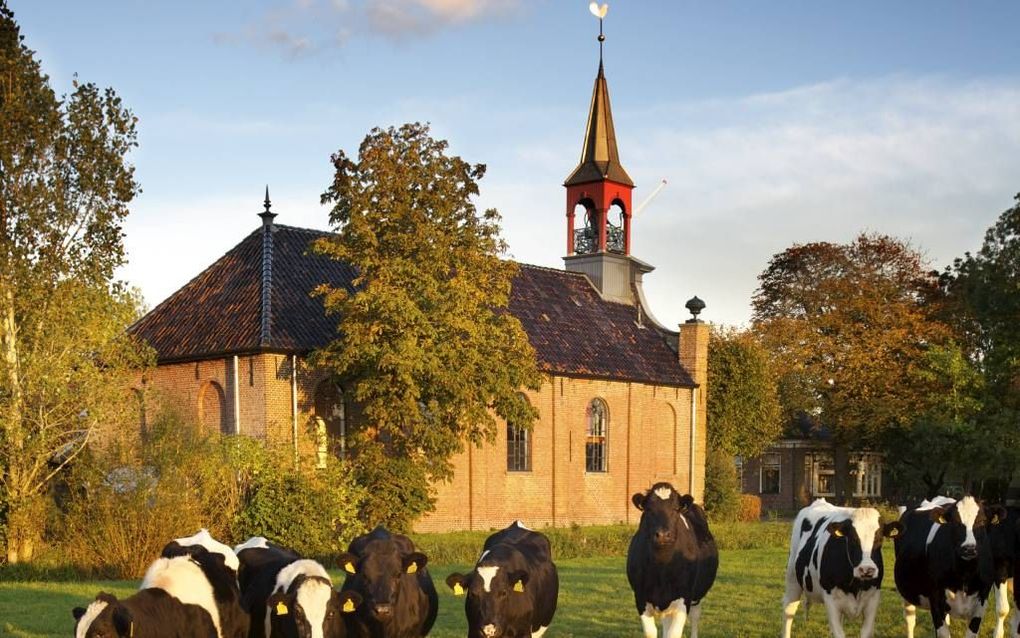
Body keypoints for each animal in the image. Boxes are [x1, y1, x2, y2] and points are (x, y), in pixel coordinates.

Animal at [620, 481, 718, 636]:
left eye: (676, 509)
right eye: (649, 509)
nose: (663, 535)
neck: (662, 566)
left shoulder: (683, 598)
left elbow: (673, 633)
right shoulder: (640, 597)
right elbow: (651, 632)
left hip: (697, 595)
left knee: (695, 617)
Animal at [775, 498, 897, 636]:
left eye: (880, 538)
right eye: (852, 538)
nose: (866, 569)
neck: (854, 586)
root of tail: (819, 501)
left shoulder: (873, 599)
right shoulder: (831, 601)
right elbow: (839, 633)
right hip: (792, 577)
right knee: (789, 609)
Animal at [893, 492, 1003, 636]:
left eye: (982, 521)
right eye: (955, 522)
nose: (969, 548)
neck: (964, 575)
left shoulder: (981, 602)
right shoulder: (935, 601)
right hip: (907, 592)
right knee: (910, 619)